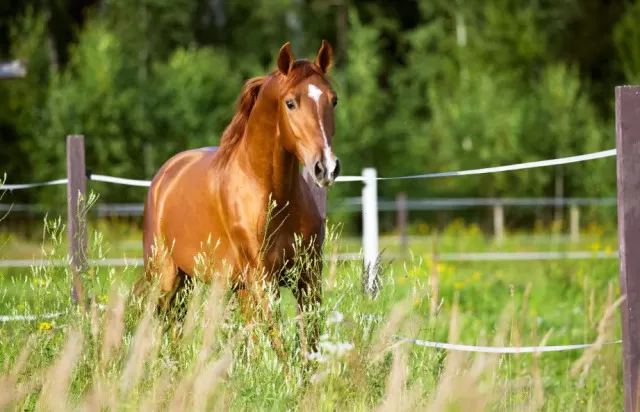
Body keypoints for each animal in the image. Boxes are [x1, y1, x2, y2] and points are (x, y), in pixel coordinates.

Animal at [136, 40, 340, 358]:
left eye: (333, 100)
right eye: (290, 103)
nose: (326, 167)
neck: (274, 196)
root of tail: (163, 177)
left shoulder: (307, 278)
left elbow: (309, 345)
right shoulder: (263, 281)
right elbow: (280, 347)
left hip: (212, 284)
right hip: (165, 277)